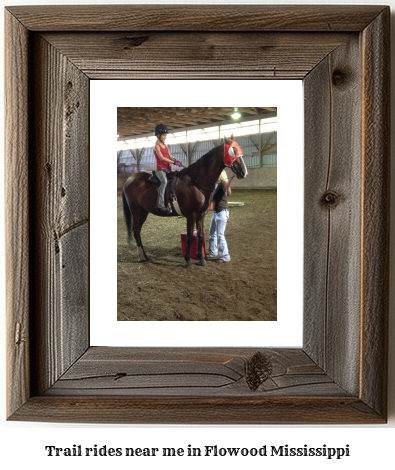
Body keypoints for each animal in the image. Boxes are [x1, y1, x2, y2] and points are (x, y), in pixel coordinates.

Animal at [122, 138, 249, 266]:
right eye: (233, 151)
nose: (244, 172)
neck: (196, 182)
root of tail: (129, 179)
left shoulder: (200, 215)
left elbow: (200, 236)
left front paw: (201, 259)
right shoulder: (191, 215)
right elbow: (189, 237)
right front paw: (188, 259)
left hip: (144, 211)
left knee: (137, 231)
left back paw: (145, 256)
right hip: (136, 211)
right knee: (136, 231)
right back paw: (140, 256)